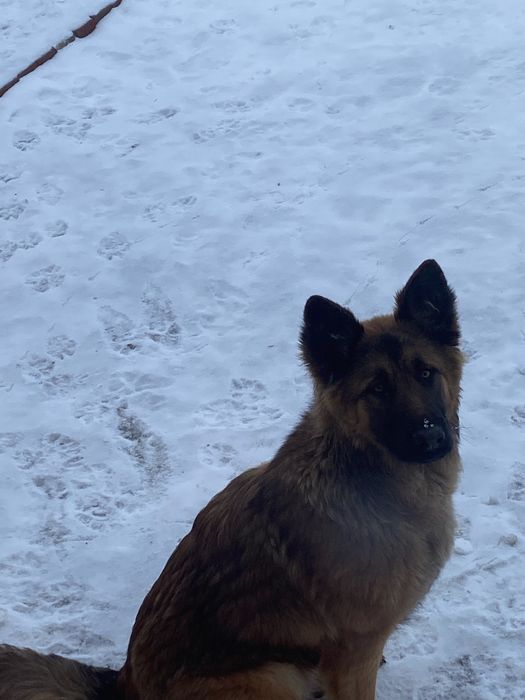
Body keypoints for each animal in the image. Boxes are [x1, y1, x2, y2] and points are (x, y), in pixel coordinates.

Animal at [0, 259, 463, 699]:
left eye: (425, 373)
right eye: (377, 389)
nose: (430, 437)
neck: (372, 479)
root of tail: (123, 684)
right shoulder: (354, 652)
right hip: (273, 676)